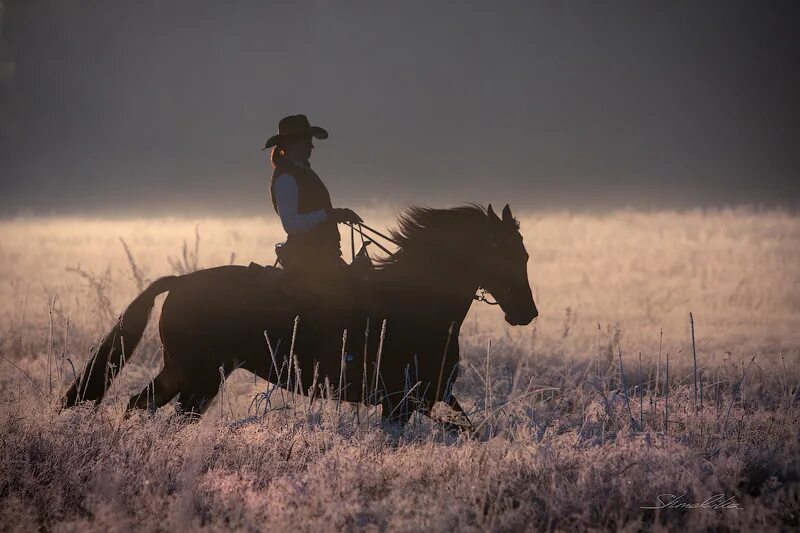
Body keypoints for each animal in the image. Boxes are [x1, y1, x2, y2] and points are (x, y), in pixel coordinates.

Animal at [62, 202, 536, 430]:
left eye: (524, 253)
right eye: (500, 250)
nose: (527, 312)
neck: (418, 303)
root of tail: (179, 282)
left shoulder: (427, 398)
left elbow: (472, 431)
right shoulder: (400, 402)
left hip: (183, 373)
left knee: (139, 403)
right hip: (200, 378)